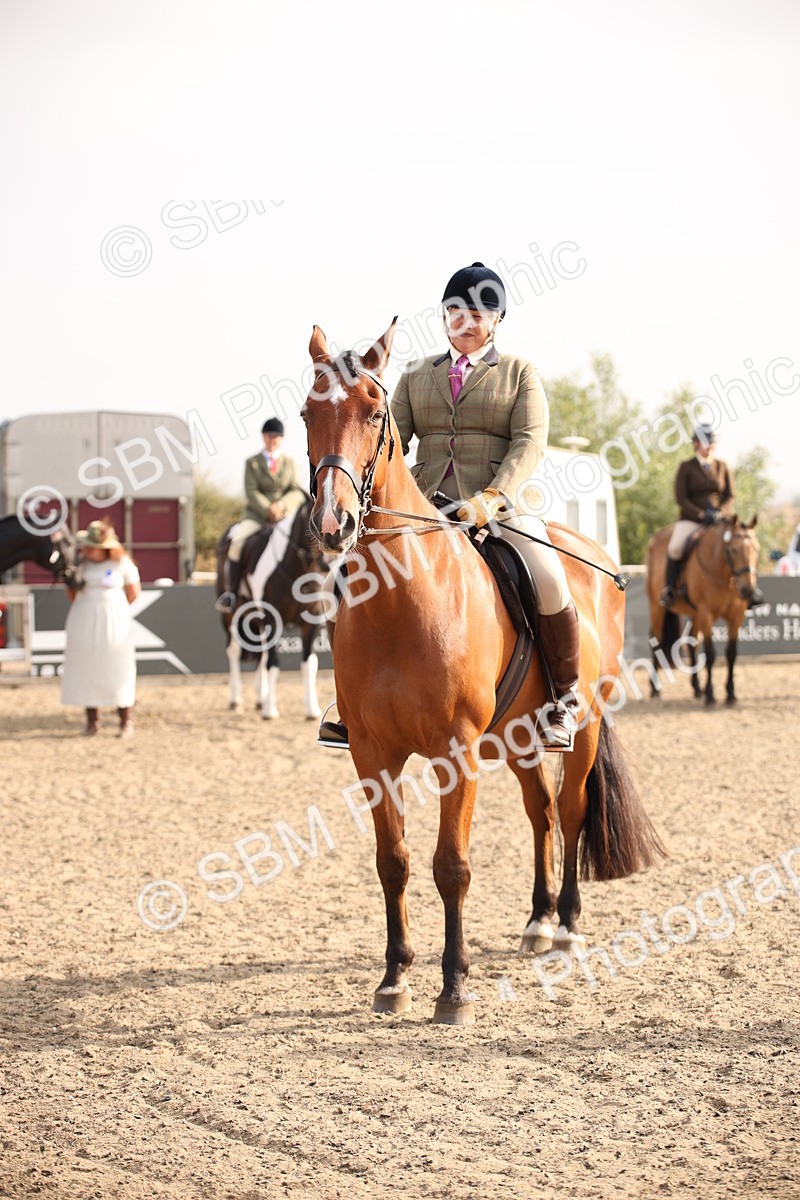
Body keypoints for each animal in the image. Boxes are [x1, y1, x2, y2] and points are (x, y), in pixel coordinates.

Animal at [216, 498, 331, 719]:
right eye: (314, 521)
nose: (327, 563)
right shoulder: (272, 619)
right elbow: (273, 664)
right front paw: (270, 710)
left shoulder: (311, 622)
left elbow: (309, 664)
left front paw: (312, 709)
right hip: (230, 616)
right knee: (234, 651)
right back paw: (236, 699)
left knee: (260, 653)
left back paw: (260, 698)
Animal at [302, 320, 666, 1025]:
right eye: (308, 413)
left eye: (374, 412)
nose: (334, 524)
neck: (401, 600)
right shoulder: (372, 752)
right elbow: (393, 861)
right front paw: (394, 977)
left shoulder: (456, 750)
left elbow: (453, 865)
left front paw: (454, 988)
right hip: (518, 738)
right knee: (541, 813)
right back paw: (538, 922)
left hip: (582, 727)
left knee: (571, 811)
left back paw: (568, 926)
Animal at [645, 516, 760, 705]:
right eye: (734, 550)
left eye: (756, 550)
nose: (748, 590)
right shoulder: (706, 613)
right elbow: (711, 653)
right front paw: (711, 694)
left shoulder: (736, 616)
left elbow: (731, 653)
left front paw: (730, 693)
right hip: (657, 607)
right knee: (657, 640)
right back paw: (655, 689)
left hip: (694, 614)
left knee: (692, 643)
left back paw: (697, 688)